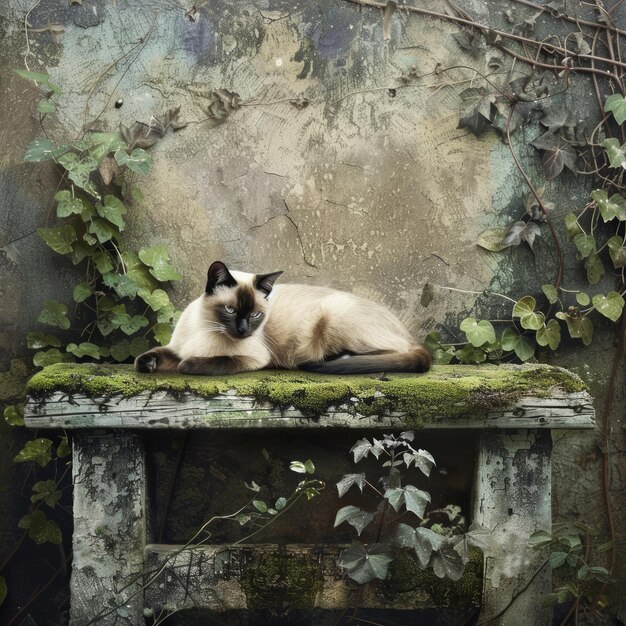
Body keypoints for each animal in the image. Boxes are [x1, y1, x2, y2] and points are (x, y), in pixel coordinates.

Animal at [134, 260, 432, 376]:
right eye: (231, 310)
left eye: (255, 314)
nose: (243, 330)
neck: (207, 328)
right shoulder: (176, 348)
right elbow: (154, 355)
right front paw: (146, 364)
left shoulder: (253, 358)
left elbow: (210, 362)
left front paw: (188, 365)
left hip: (330, 318)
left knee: (396, 354)